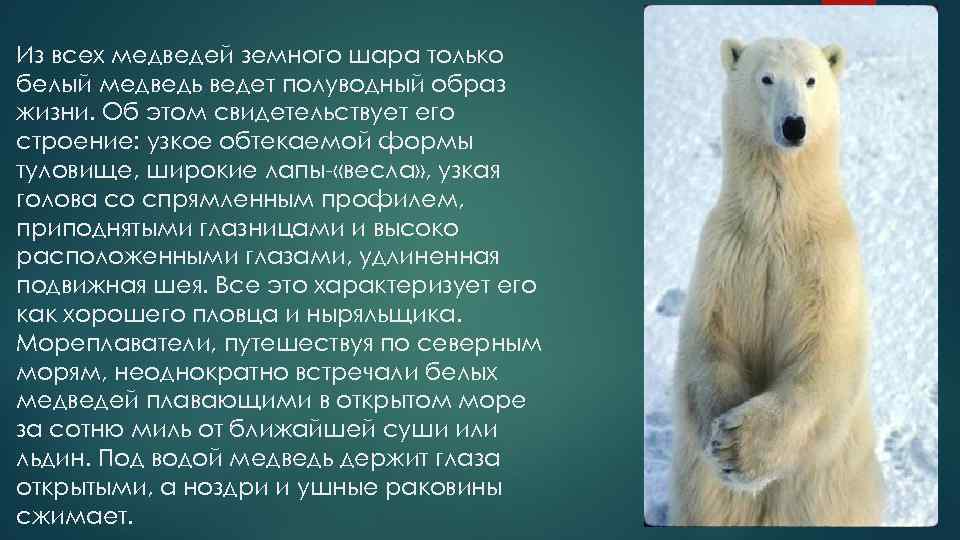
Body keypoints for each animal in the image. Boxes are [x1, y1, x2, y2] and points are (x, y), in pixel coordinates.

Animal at [668, 38, 885, 526]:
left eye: (811, 79)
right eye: (766, 78)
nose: (794, 125)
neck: (777, 221)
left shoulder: (826, 261)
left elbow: (823, 358)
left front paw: (738, 447)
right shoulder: (727, 254)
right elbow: (710, 339)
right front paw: (719, 435)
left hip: (833, 492)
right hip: (700, 494)